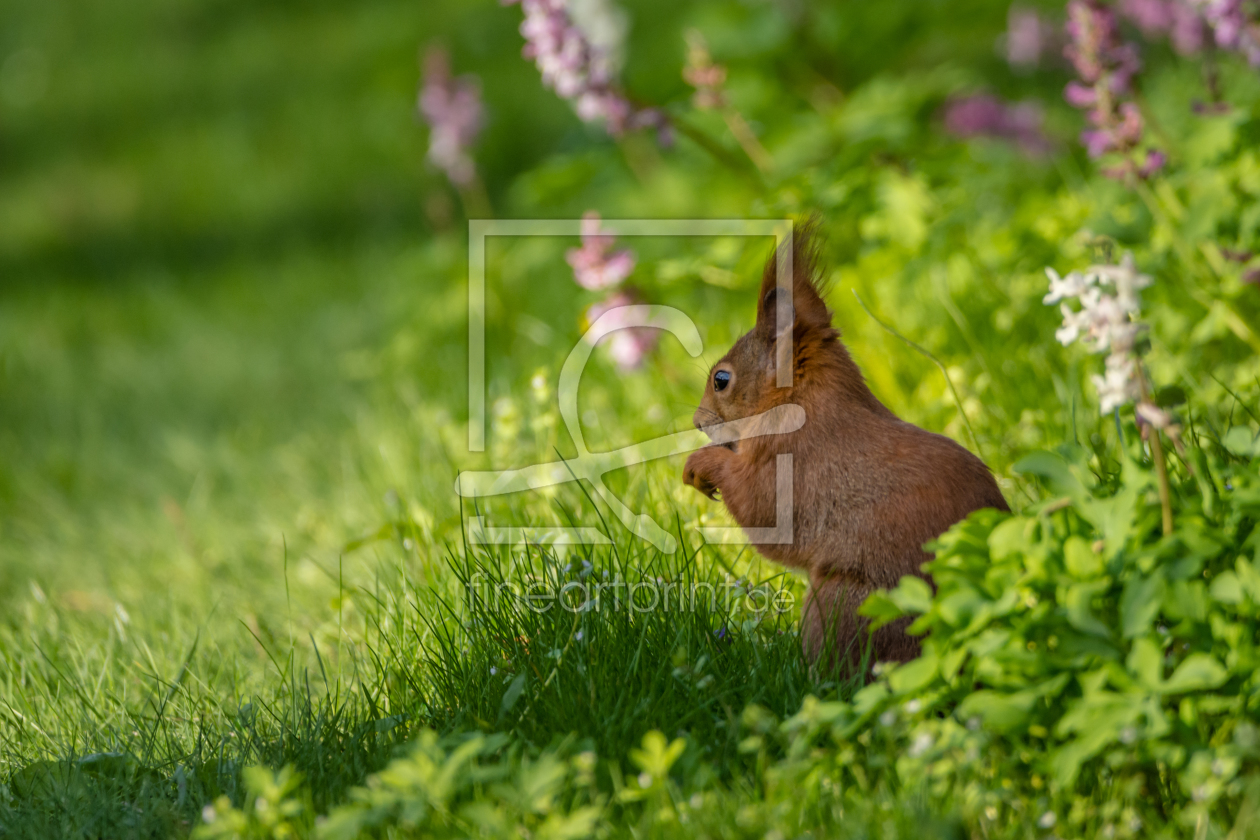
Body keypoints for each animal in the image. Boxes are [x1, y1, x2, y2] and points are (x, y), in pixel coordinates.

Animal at [685, 225, 1008, 669]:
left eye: (721, 379)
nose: (697, 422)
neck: (803, 403)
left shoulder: (787, 463)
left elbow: (758, 507)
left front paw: (699, 465)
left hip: (841, 605)